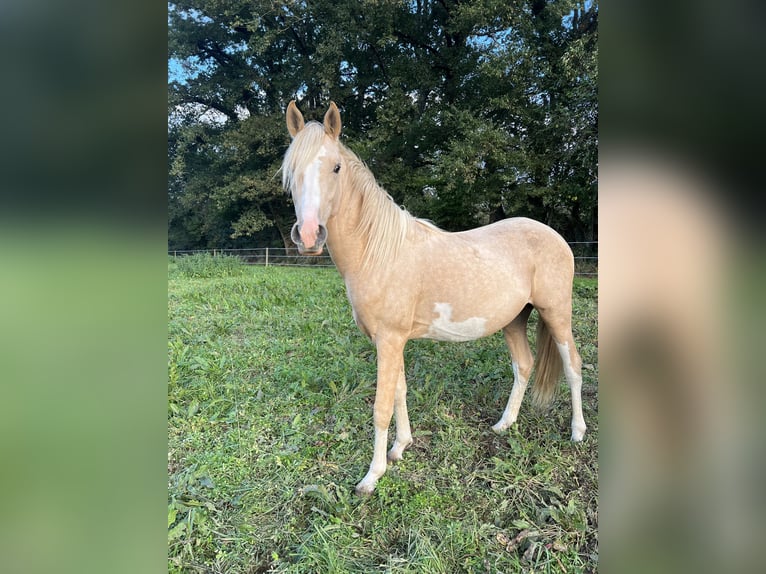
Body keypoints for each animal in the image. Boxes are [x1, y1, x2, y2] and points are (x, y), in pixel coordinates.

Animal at [282, 100, 588, 496]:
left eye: (335, 167)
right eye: (291, 172)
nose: (308, 236)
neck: (378, 253)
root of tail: (556, 237)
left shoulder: (389, 340)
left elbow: (381, 405)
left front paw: (372, 476)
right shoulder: (391, 341)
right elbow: (400, 391)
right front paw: (400, 447)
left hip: (556, 313)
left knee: (573, 365)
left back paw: (577, 432)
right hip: (514, 319)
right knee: (523, 365)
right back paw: (504, 425)